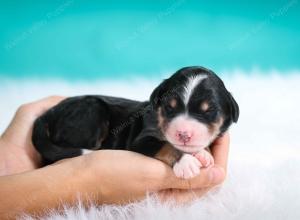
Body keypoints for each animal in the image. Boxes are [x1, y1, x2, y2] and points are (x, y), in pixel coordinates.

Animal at [32, 66, 239, 179]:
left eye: (209, 111)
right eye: (169, 107)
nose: (184, 134)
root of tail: (48, 113)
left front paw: (203, 154)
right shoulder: (141, 140)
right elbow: (165, 145)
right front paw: (186, 162)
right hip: (91, 110)